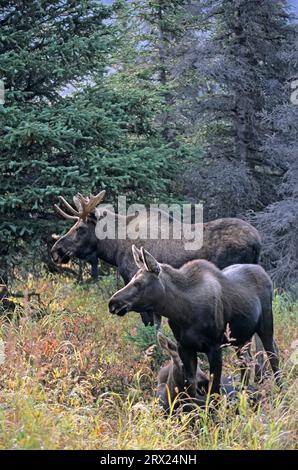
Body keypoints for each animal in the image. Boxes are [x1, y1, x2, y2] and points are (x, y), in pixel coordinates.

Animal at [108, 246, 280, 396]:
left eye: (139, 283)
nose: (113, 303)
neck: (183, 312)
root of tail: (265, 274)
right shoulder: (185, 347)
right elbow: (190, 386)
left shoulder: (214, 346)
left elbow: (214, 389)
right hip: (239, 339)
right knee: (247, 362)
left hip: (265, 325)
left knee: (273, 357)